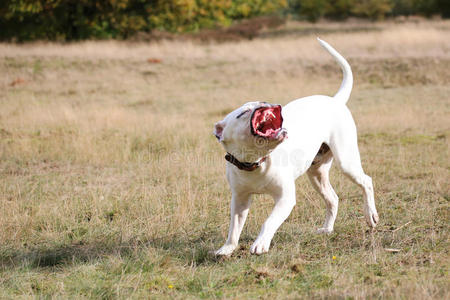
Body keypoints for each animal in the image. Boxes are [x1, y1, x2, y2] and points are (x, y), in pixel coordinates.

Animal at [214, 38, 380, 255]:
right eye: (242, 113)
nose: (263, 101)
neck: (256, 162)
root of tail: (334, 100)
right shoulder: (239, 200)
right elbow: (234, 227)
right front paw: (227, 249)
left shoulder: (285, 198)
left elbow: (269, 222)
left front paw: (260, 243)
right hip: (317, 173)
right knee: (333, 198)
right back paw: (327, 229)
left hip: (346, 161)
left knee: (366, 181)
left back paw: (371, 215)